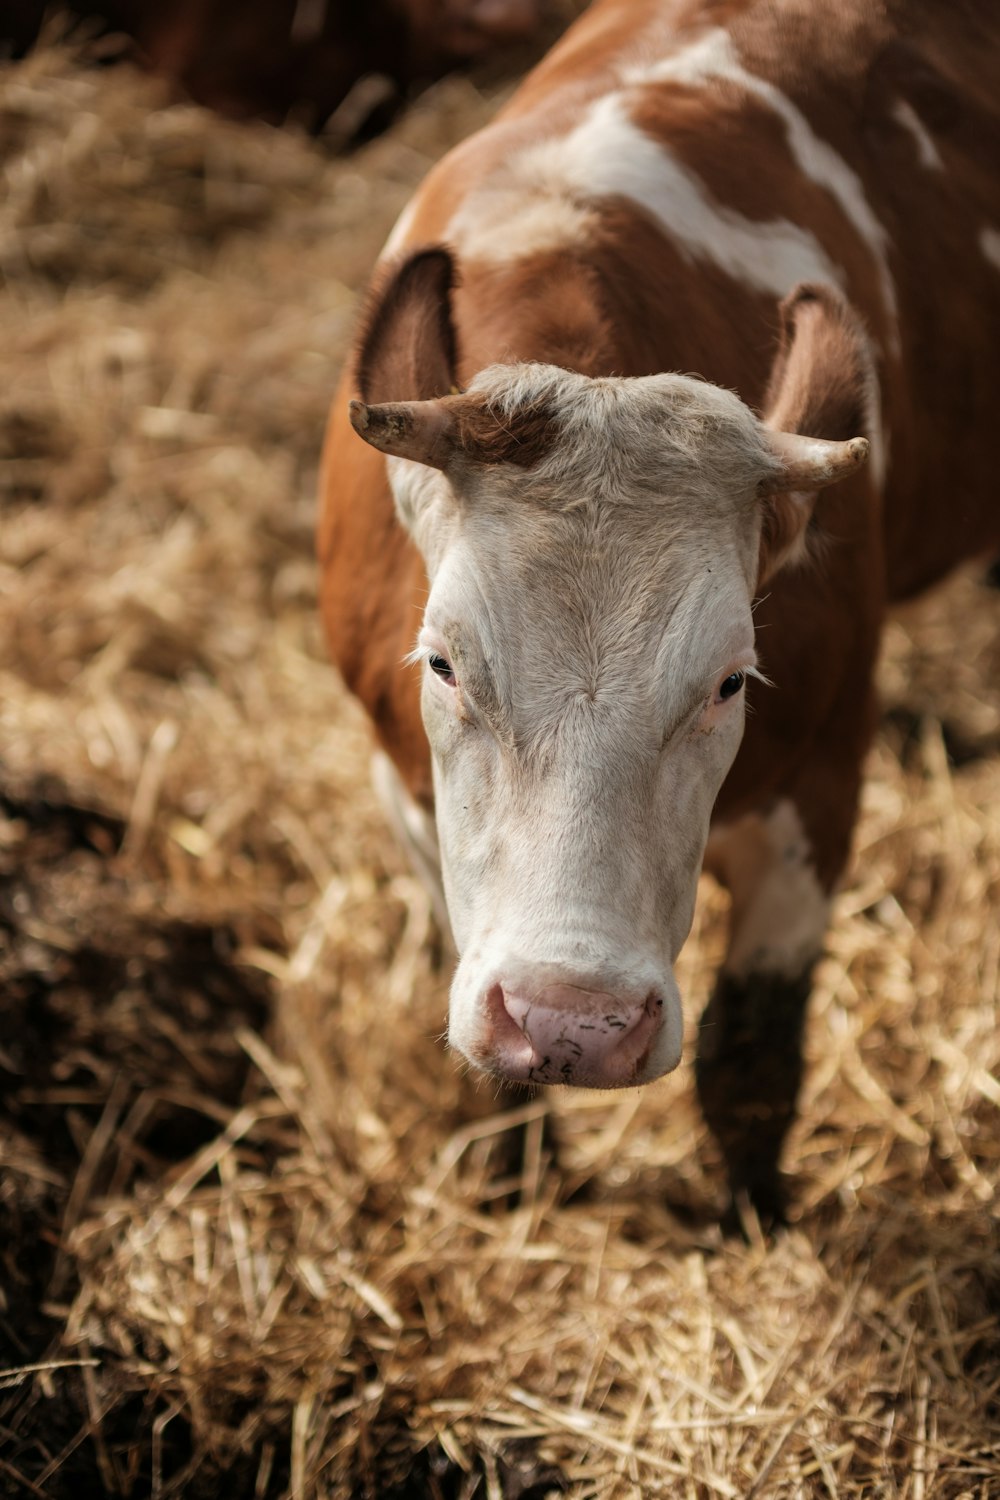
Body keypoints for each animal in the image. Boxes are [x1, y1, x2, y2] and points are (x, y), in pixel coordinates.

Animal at [319, 0, 1000, 1224]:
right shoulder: (399, 784)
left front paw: (751, 1222)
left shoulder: (825, 778)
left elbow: (751, 1056)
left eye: (730, 680)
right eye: (442, 665)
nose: (573, 1024)